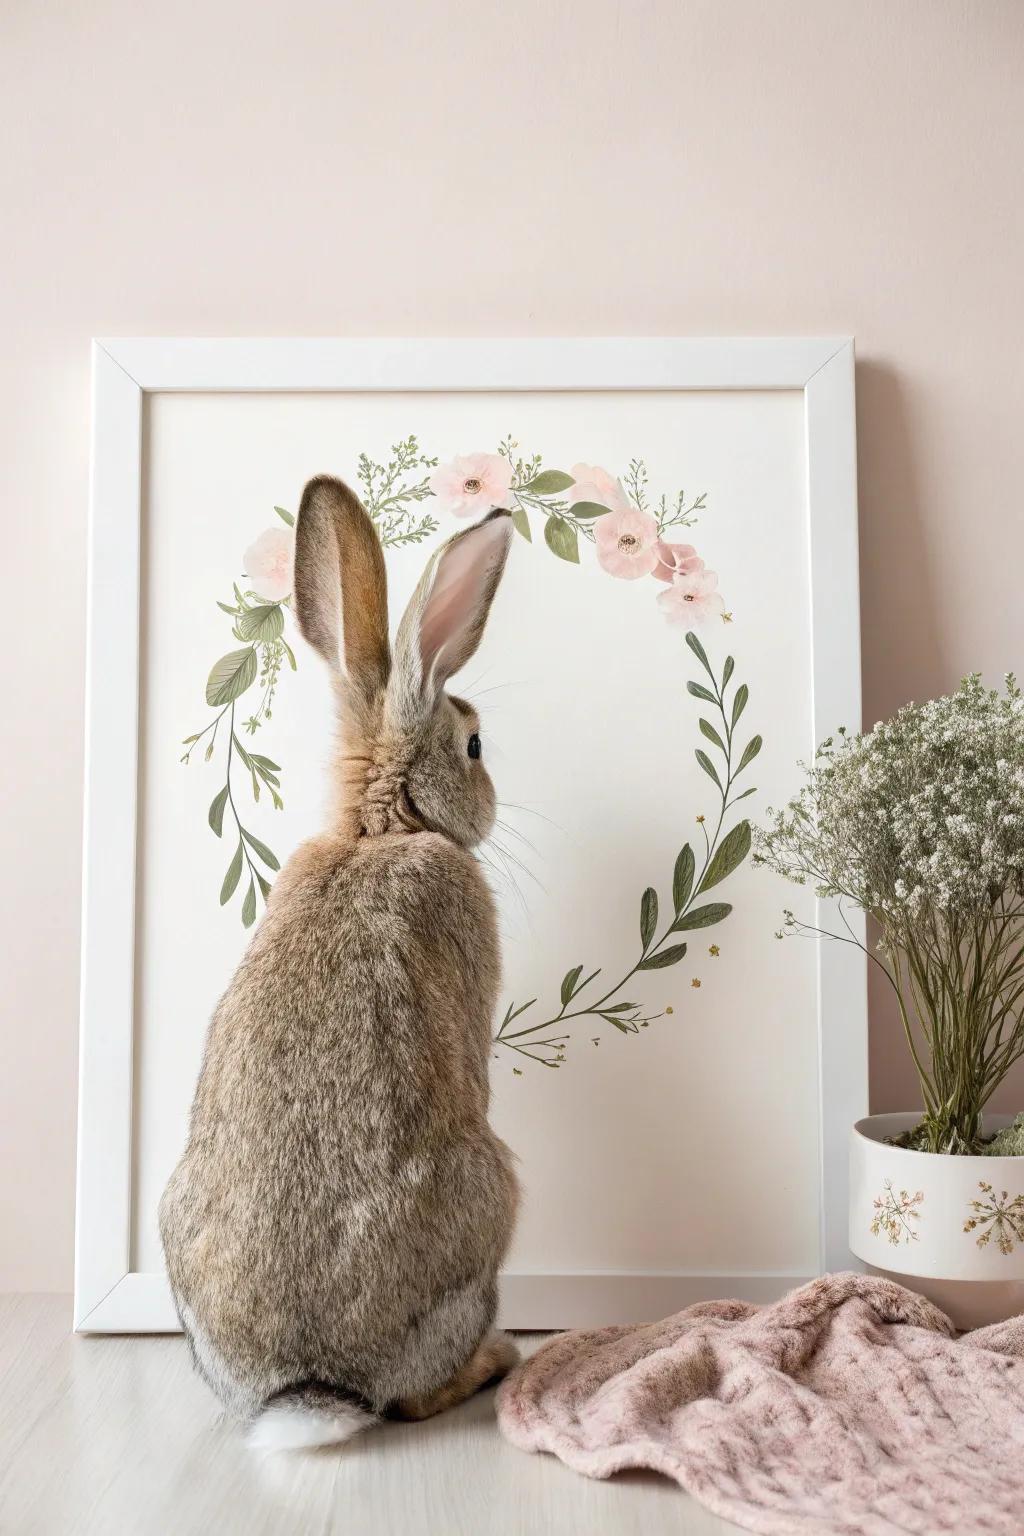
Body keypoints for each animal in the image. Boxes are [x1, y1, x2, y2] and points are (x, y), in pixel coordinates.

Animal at [159, 475, 521, 1451]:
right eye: (474, 746)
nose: (492, 795)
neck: (378, 828)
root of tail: (314, 1385)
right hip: (496, 1196)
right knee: (412, 1398)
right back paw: (493, 1360)